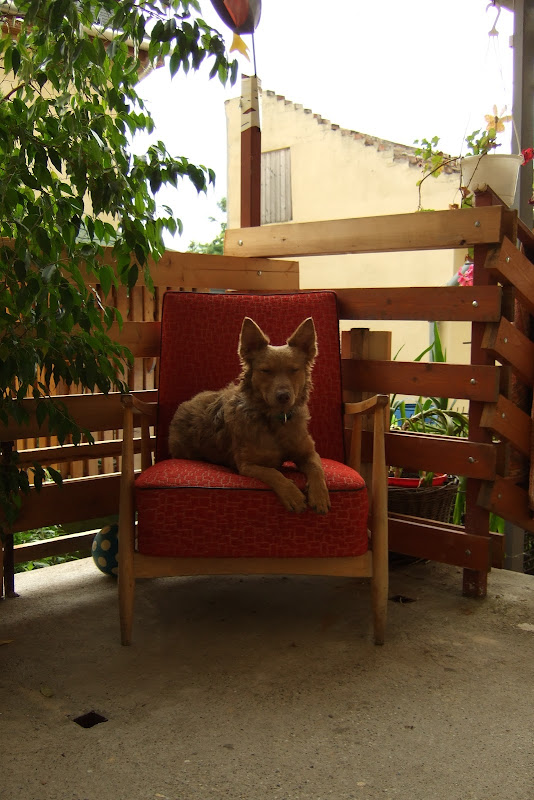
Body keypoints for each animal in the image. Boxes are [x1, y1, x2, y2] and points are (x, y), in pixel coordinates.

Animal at [168, 316, 331, 514]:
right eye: (266, 371)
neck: (275, 420)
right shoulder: (247, 465)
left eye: (294, 370)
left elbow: (316, 469)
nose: (283, 396)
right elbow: (274, 473)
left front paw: (319, 495)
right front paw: (292, 494)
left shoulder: (308, 453)